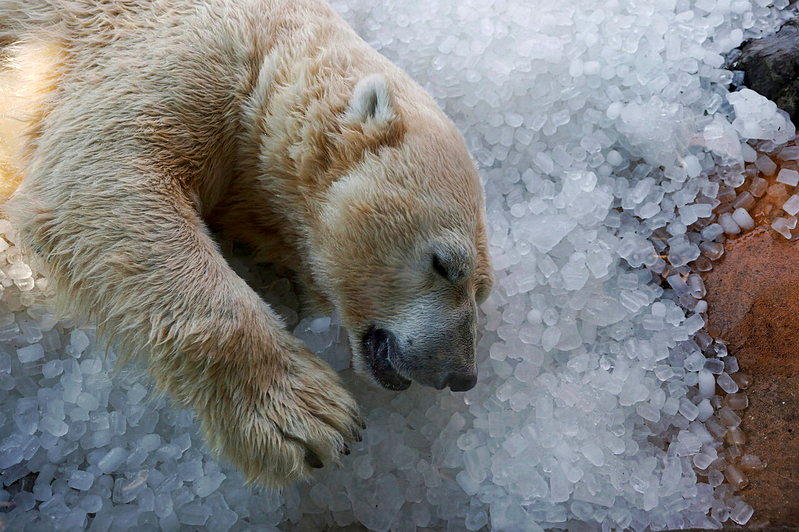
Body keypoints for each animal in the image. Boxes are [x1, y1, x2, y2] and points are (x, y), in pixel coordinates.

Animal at [0, 0, 493, 485]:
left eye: (481, 291)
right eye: (444, 264)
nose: (461, 373)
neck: (273, 42)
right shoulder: (180, 52)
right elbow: (101, 181)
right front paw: (306, 417)